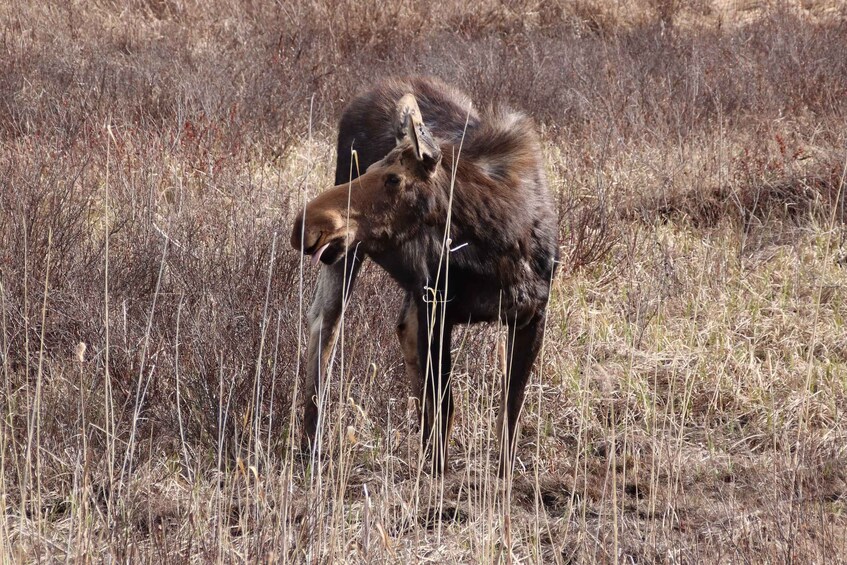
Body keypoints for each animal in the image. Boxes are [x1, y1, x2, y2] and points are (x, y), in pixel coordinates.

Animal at [292, 75, 564, 472]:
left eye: (393, 178)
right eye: (368, 168)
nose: (306, 223)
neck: (499, 248)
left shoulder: (530, 314)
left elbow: (509, 413)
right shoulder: (437, 307)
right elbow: (446, 403)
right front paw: (435, 471)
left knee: (399, 328)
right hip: (347, 257)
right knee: (324, 325)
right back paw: (311, 445)